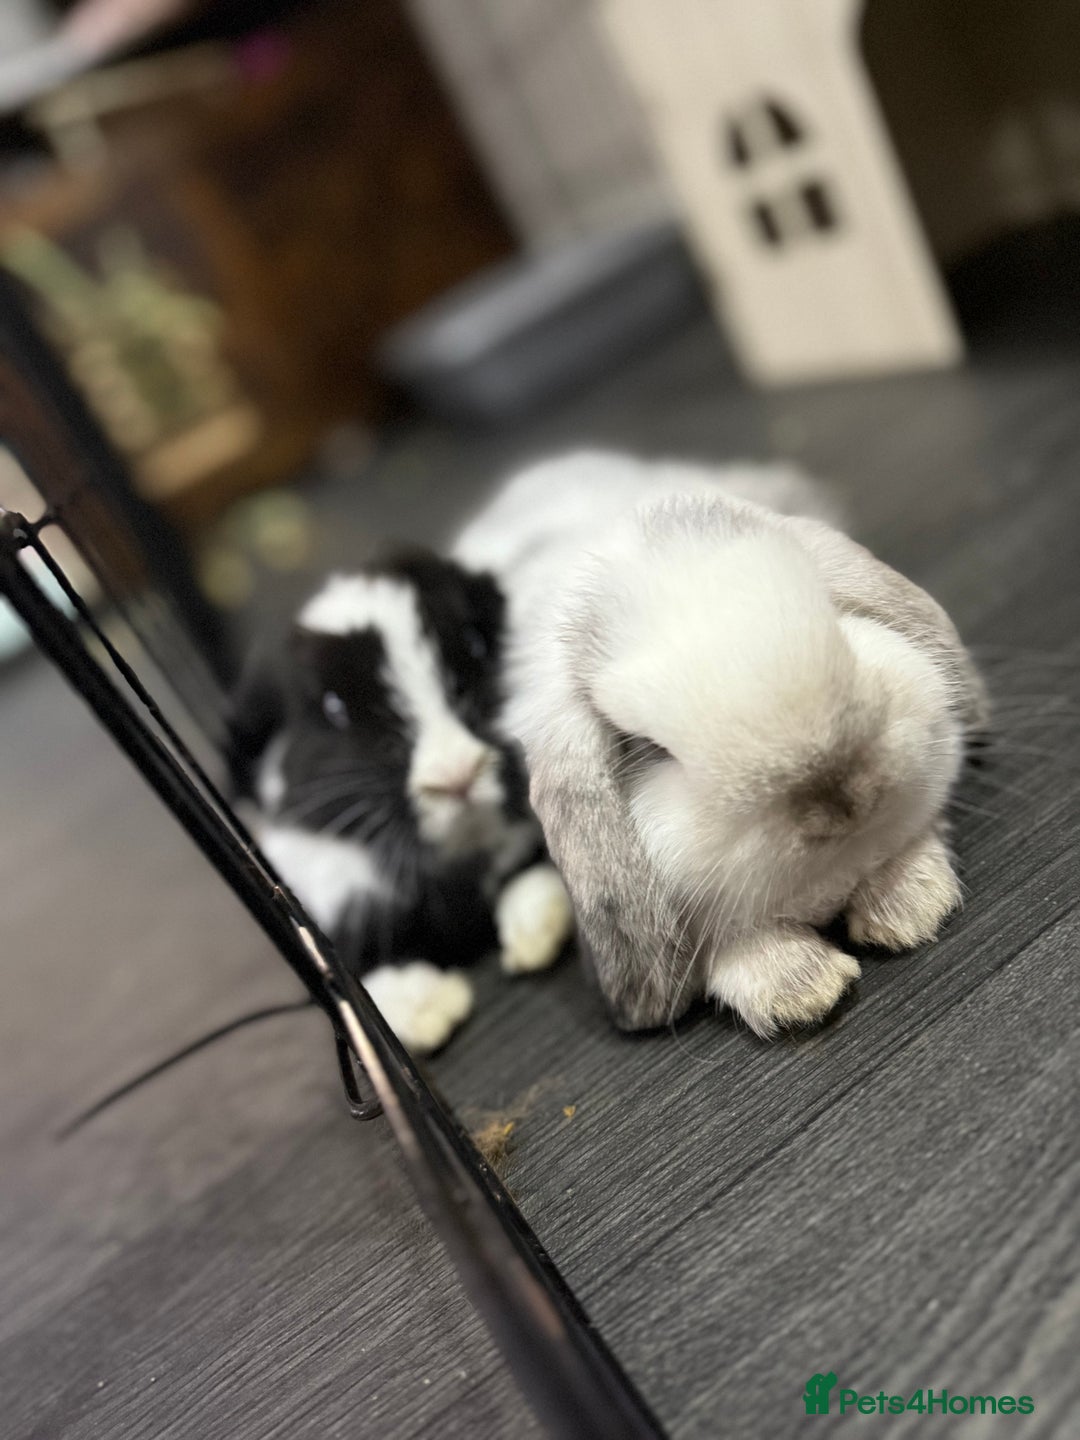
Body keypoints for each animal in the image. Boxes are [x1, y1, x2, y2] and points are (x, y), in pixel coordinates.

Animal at [227, 546, 574, 1052]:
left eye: (476, 643)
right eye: (332, 708)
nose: (455, 774)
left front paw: (535, 933)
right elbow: (352, 977)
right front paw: (435, 1010)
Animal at [452, 451, 988, 1037]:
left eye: (833, 618)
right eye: (648, 747)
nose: (838, 801)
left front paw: (912, 905)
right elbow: (728, 953)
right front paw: (801, 988)